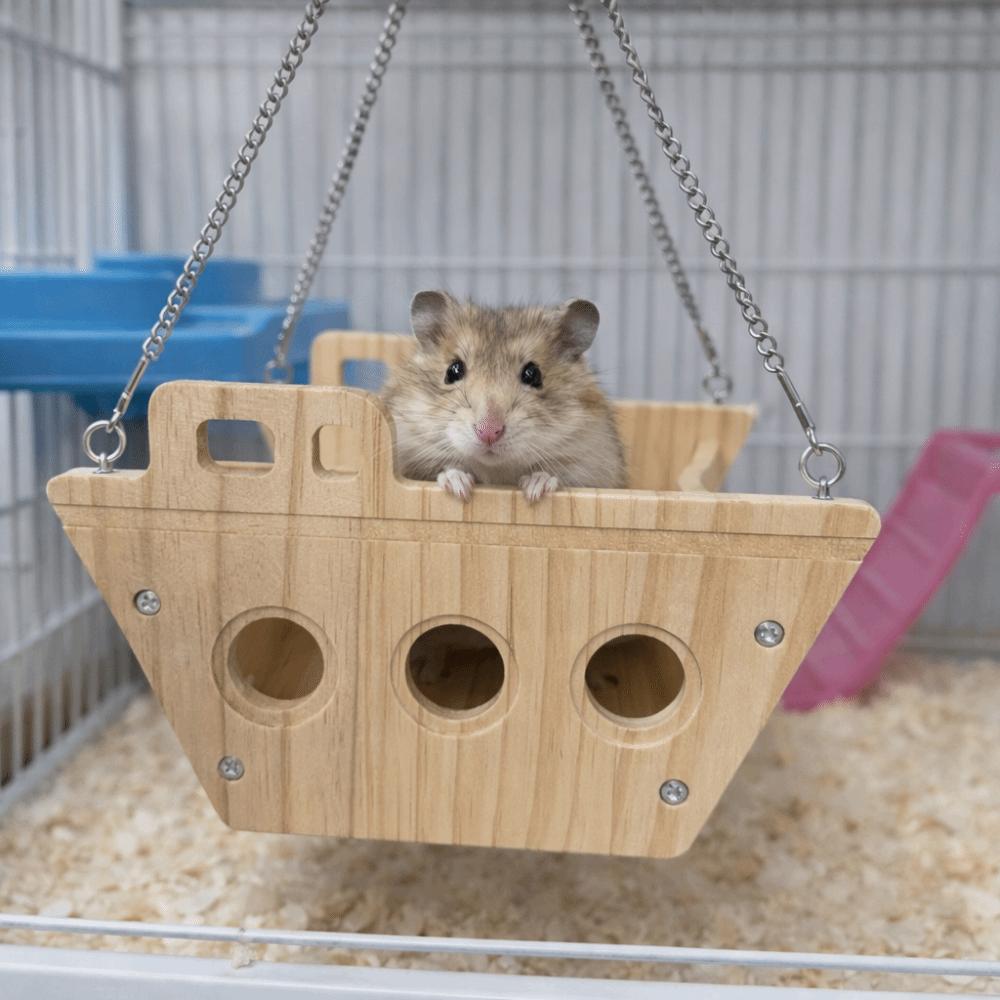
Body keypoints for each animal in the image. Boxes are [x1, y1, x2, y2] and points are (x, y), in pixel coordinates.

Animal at [380, 290, 627, 503]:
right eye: (453, 371)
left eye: (533, 374)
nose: (489, 432)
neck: (495, 470)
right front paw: (459, 487)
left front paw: (536, 489)